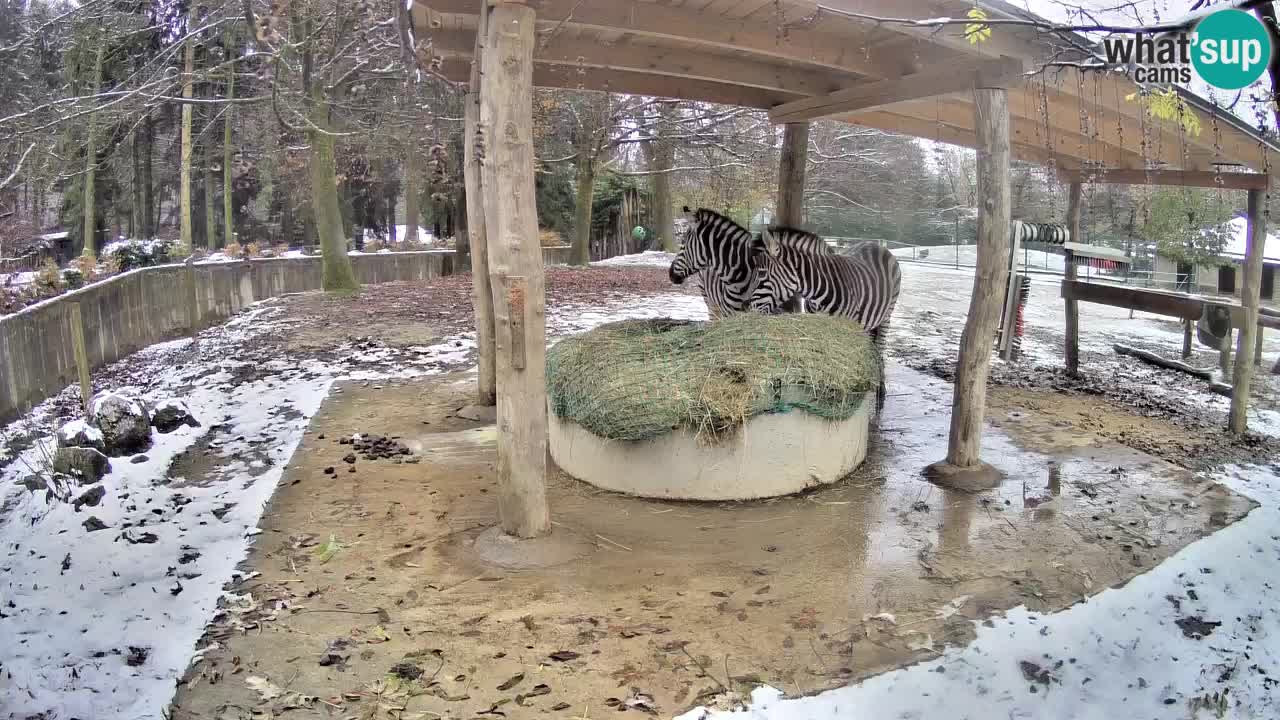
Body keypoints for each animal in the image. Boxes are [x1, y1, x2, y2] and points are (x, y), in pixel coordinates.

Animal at [747, 226, 906, 412]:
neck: (818, 290)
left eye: (762, 274)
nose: (750, 310)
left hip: (886, 316)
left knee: (880, 349)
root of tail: (877, 245)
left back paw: (880, 392)